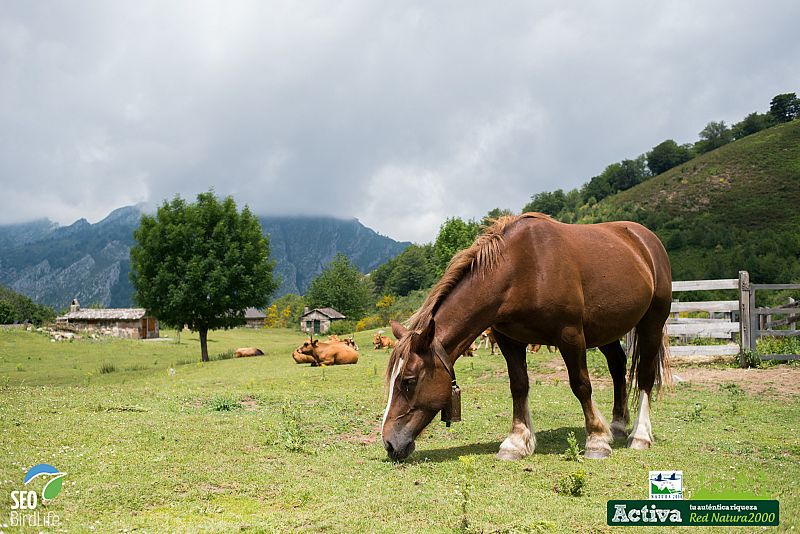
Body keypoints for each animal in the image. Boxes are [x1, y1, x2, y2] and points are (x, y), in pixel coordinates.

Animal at [380, 216, 668, 462]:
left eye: (408, 381)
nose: (389, 443)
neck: (521, 269)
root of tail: (646, 240)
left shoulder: (571, 335)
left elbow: (581, 385)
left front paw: (596, 439)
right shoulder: (508, 340)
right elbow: (518, 386)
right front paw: (517, 442)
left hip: (651, 324)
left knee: (645, 376)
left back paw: (640, 435)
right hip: (606, 331)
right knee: (618, 367)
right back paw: (617, 425)